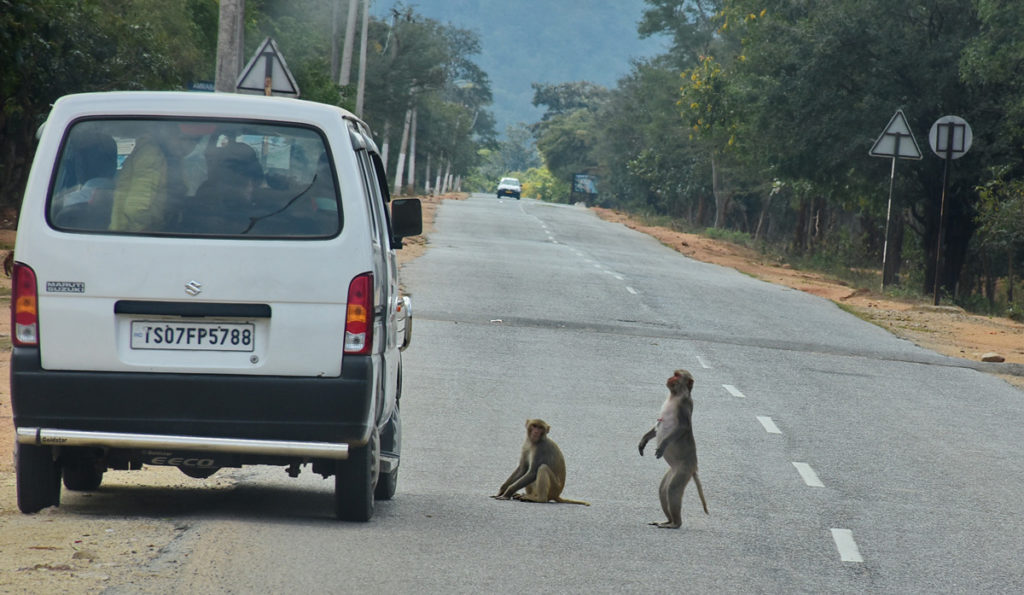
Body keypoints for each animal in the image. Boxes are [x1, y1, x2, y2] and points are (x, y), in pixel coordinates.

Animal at [634, 368, 708, 528]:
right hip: (673, 471)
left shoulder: (684, 404)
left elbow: (683, 426)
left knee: (672, 490)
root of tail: (694, 467)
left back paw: (676, 523)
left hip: (683, 470)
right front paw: (644, 440)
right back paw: (667, 520)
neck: (675, 395)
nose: (669, 378)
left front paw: (662, 446)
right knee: (663, 491)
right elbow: (656, 428)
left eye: (677, 375)